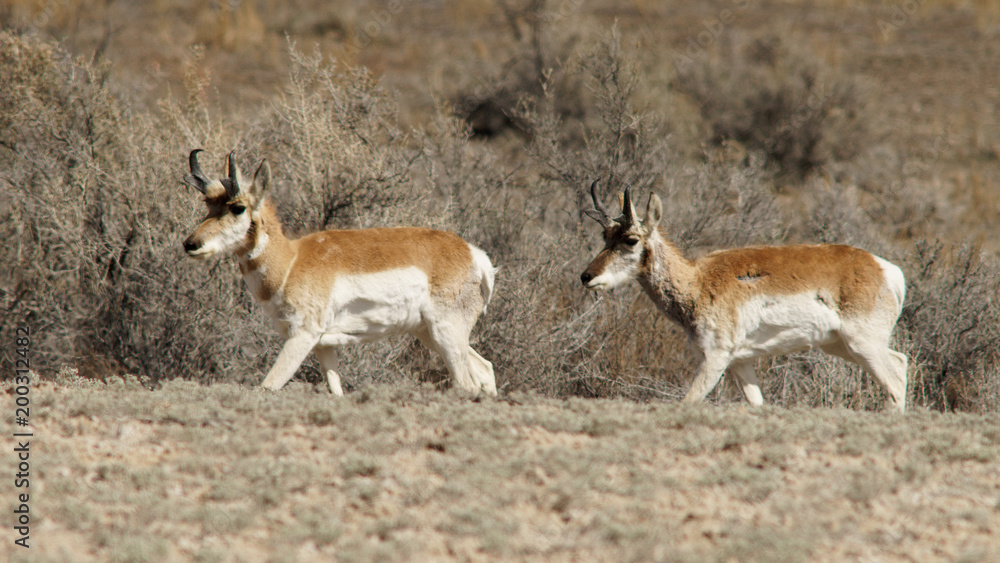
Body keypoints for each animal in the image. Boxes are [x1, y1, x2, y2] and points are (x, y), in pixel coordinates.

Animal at [182, 150, 497, 396]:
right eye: (208, 205)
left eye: (237, 208)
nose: (190, 244)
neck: (291, 261)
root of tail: (472, 253)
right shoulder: (323, 346)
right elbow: (336, 391)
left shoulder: (302, 337)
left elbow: (268, 385)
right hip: (430, 334)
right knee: (485, 370)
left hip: (446, 333)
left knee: (467, 383)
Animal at [581, 181, 908, 412]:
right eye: (605, 236)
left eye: (631, 240)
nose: (586, 276)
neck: (698, 281)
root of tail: (884, 268)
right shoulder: (740, 363)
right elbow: (757, 404)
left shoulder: (716, 358)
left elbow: (688, 401)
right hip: (840, 345)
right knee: (901, 364)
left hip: (862, 344)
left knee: (893, 384)